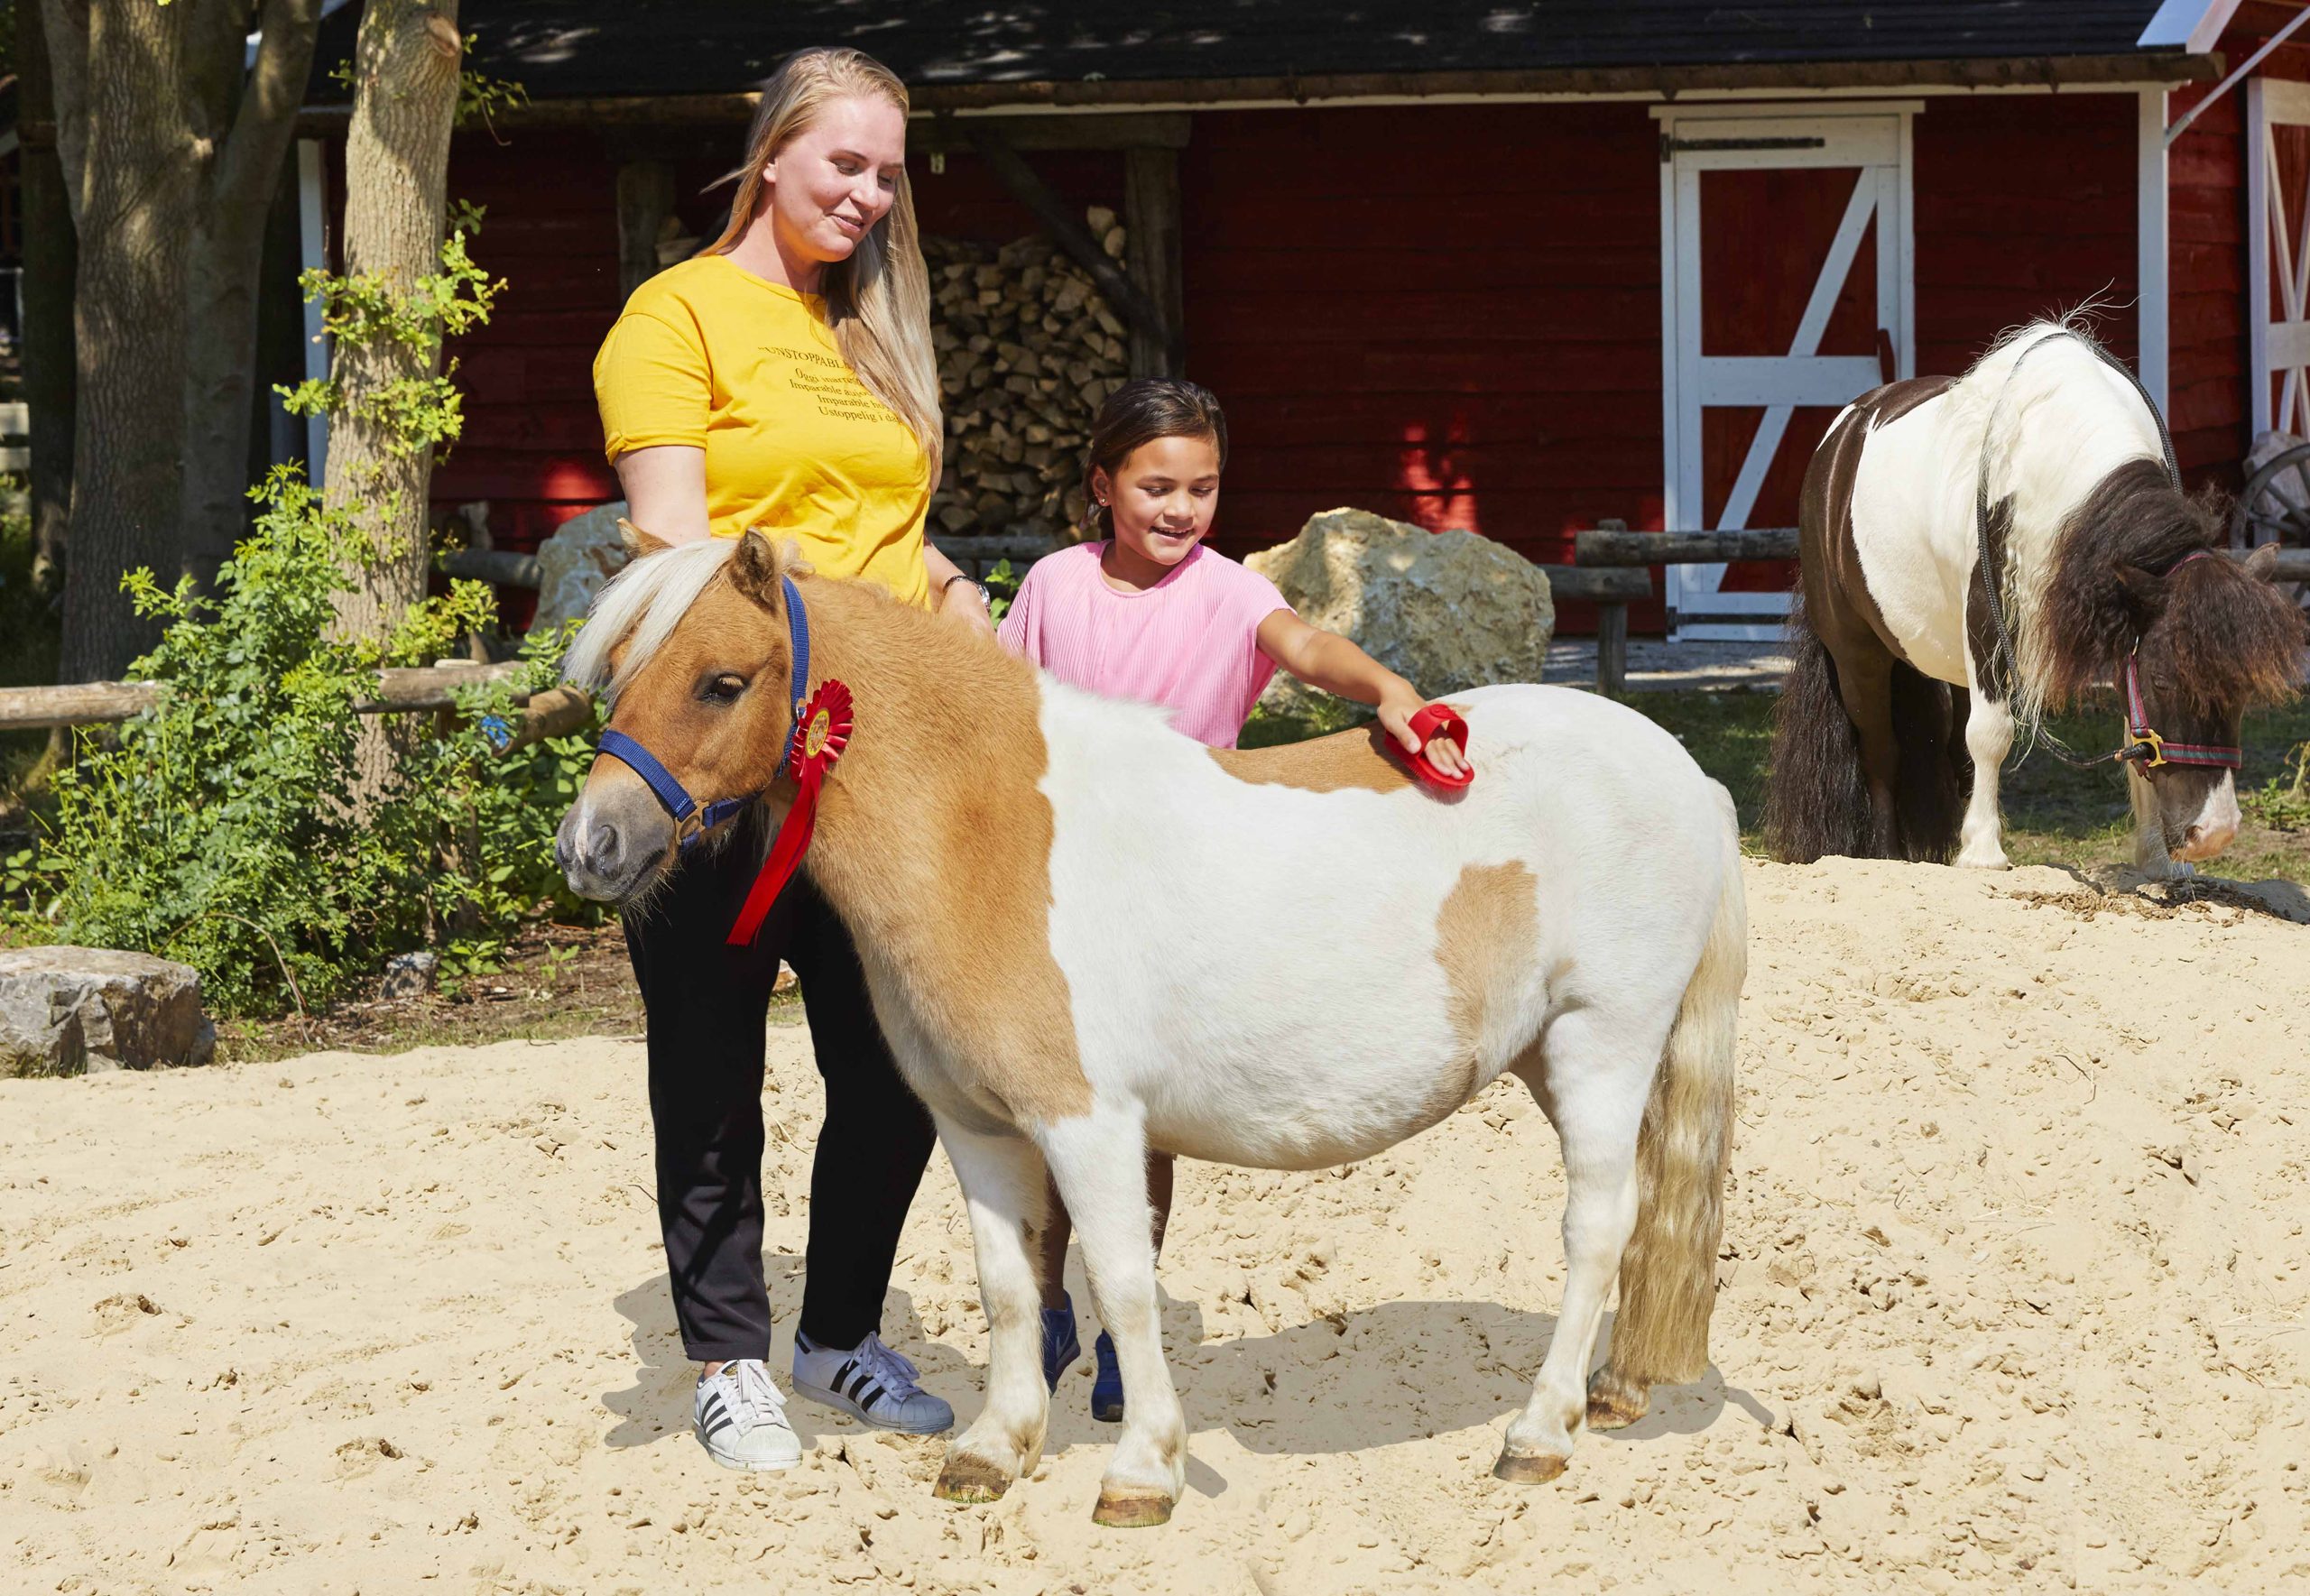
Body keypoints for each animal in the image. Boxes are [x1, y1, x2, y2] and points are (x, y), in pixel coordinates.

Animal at [556, 527, 1746, 1526]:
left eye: (722, 681)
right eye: (620, 676)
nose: (590, 845)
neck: (989, 831)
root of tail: (1690, 775)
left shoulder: (1087, 1122)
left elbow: (1120, 1279)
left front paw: (1140, 1469)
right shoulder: (976, 1127)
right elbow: (1009, 1286)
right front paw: (995, 1449)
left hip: (1602, 1045)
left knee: (1595, 1229)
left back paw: (1539, 1433)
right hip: (1552, 1057)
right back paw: (1612, 1391)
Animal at [1762, 319, 2305, 878]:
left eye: (2243, 689)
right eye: (2162, 680)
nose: (2212, 834)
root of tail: (1840, 437)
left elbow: (2129, 735)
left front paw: (2158, 860)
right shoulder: (1986, 625)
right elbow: (1991, 734)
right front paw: (1983, 854)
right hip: (1859, 654)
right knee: (1882, 751)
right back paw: (1891, 858)